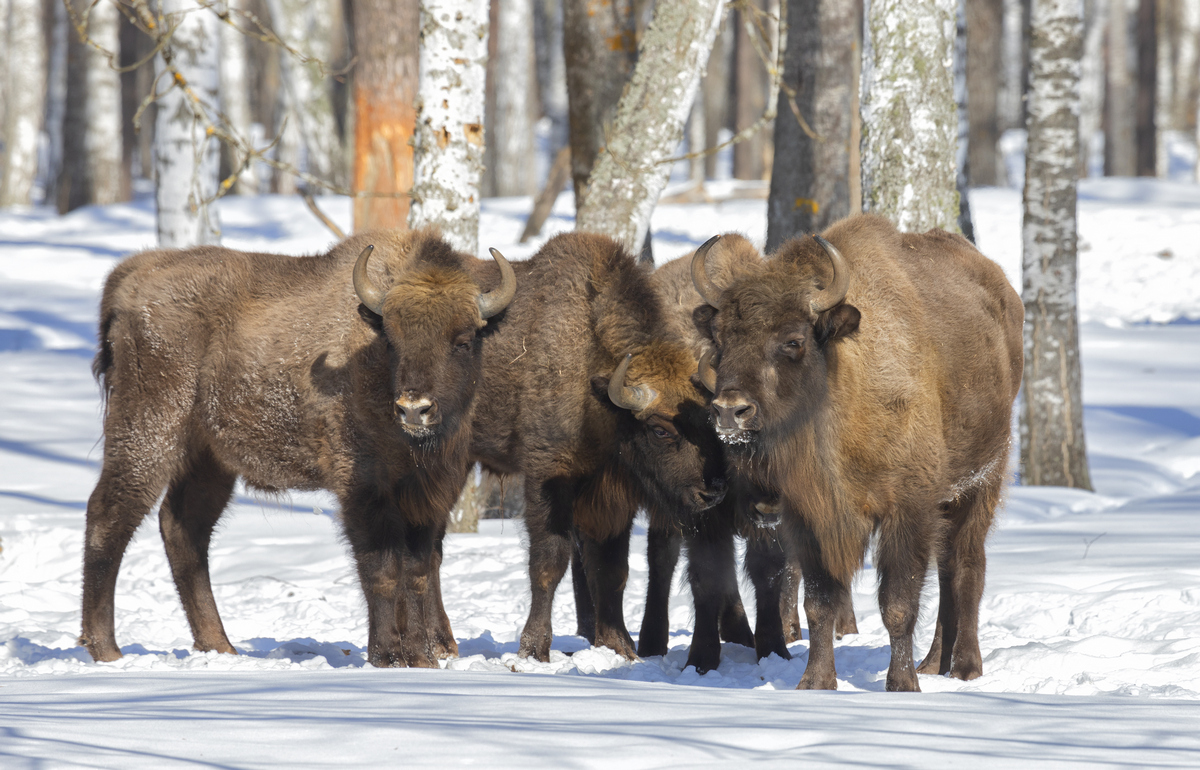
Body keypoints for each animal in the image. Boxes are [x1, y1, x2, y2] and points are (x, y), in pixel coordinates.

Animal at [79, 227, 511, 666]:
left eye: (463, 341)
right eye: (392, 339)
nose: (414, 408)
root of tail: (132, 275)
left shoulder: (429, 496)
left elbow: (419, 570)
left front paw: (424, 658)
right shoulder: (363, 488)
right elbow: (383, 568)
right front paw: (389, 655)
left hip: (209, 459)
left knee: (183, 528)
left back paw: (220, 645)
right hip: (150, 430)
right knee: (110, 516)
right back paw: (106, 649)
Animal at [696, 214, 1022, 690]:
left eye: (793, 340)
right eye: (720, 338)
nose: (729, 410)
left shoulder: (907, 510)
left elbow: (898, 603)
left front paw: (902, 684)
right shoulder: (809, 517)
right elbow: (819, 602)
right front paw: (815, 681)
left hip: (981, 482)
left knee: (966, 567)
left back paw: (964, 667)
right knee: (946, 571)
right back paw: (934, 662)